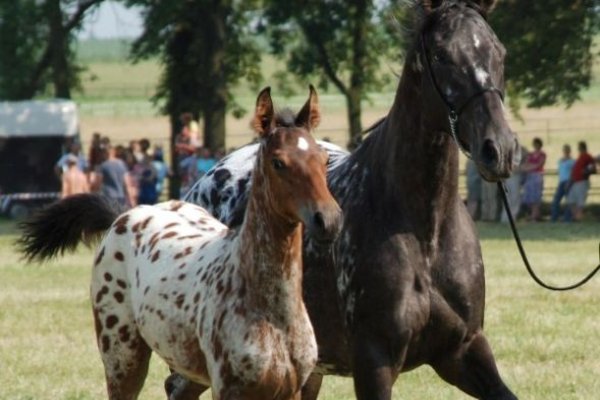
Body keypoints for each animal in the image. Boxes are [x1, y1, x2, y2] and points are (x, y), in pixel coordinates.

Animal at [19, 86, 342, 398]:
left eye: (324, 158)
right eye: (278, 162)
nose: (328, 219)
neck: (272, 313)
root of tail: (127, 213)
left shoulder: (292, 388)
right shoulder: (229, 389)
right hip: (123, 359)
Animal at [179, 0, 520, 396]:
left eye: (500, 52)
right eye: (441, 54)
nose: (499, 149)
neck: (425, 233)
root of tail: (207, 179)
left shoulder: (463, 351)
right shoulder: (374, 361)